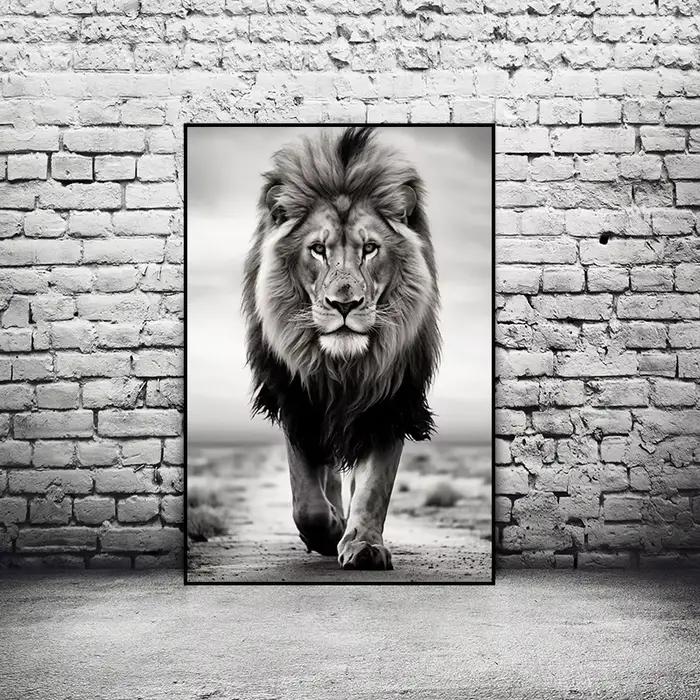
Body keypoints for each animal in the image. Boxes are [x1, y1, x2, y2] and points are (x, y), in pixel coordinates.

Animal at [242, 126, 441, 571]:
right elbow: (307, 499)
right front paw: (327, 531)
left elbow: (373, 487)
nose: (344, 305)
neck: (344, 367)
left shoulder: (390, 401)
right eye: (318, 249)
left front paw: (363, 544)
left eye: (370, 249)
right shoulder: (297, 398)